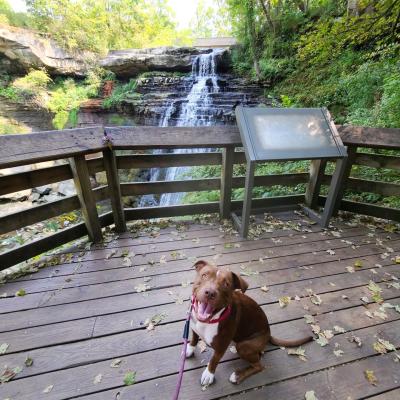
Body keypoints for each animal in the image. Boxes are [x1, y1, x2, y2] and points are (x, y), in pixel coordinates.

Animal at [186, 260, 314, 386]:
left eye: (226, 284)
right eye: (204, 275)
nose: (210, 293)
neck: (210, 321)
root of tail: (268, 333)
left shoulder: (220, 349)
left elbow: (213, 361)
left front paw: (209, 374)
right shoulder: (193, 327)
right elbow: (194, 338)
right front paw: (189, 349)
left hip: (244, 346)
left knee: (259, 366)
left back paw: (238, 375)